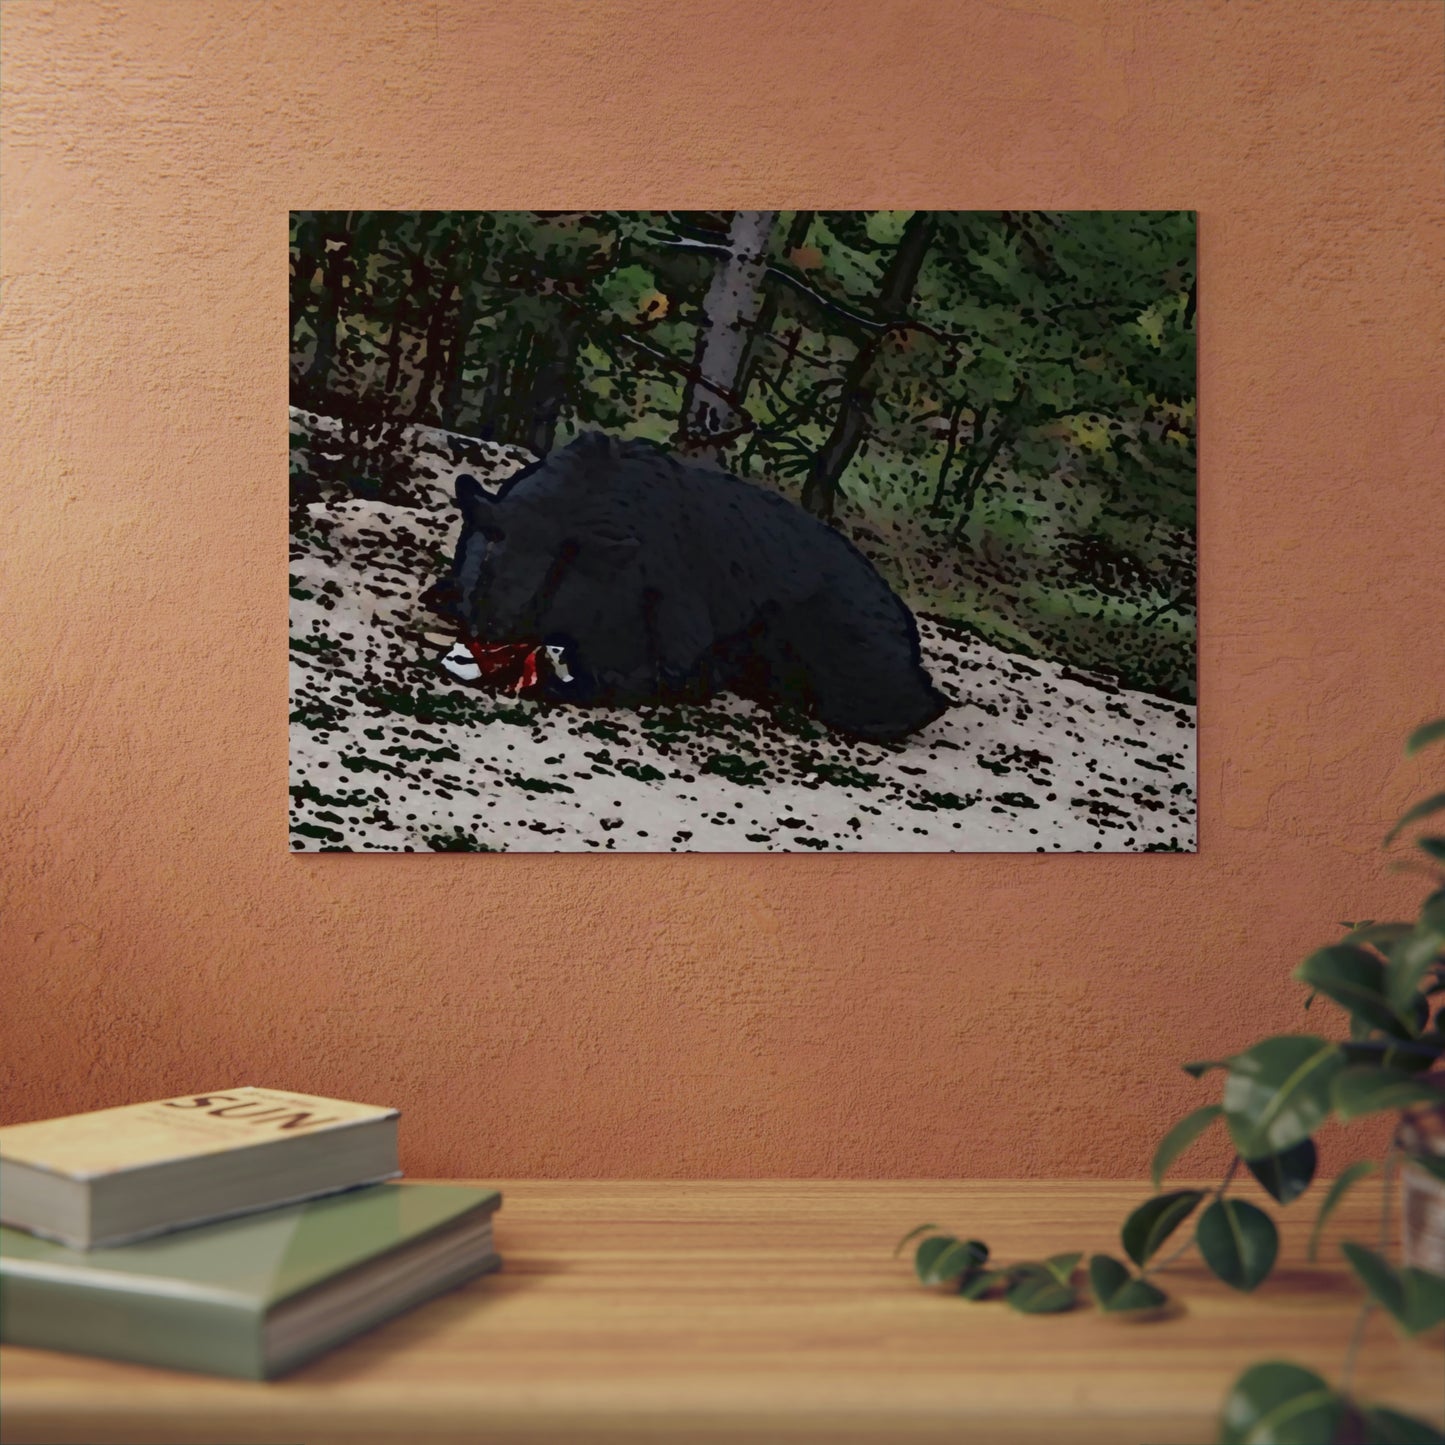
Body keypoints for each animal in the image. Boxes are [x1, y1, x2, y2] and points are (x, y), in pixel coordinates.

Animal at [421, 432, 948, 743]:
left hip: (848, 656)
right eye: (486, 566)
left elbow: (627, 676)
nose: (488, 631)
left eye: (544, 589)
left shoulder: (667, 635)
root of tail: (904, 622)